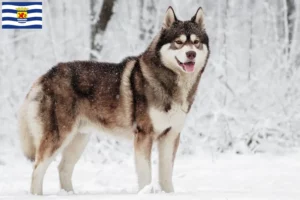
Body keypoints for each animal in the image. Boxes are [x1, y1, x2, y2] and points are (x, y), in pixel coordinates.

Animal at [18, 6, 209, 194]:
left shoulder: (171, 136)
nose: (191, 54)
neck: (170, 83)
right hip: (58, 137)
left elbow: (166, 175)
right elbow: (146, 175)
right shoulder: (144, 135)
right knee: (37, 169)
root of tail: (44, 76)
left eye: (196, 42)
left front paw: (168, 194)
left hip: (79, 139)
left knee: (63, 168)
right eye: (179, 42)